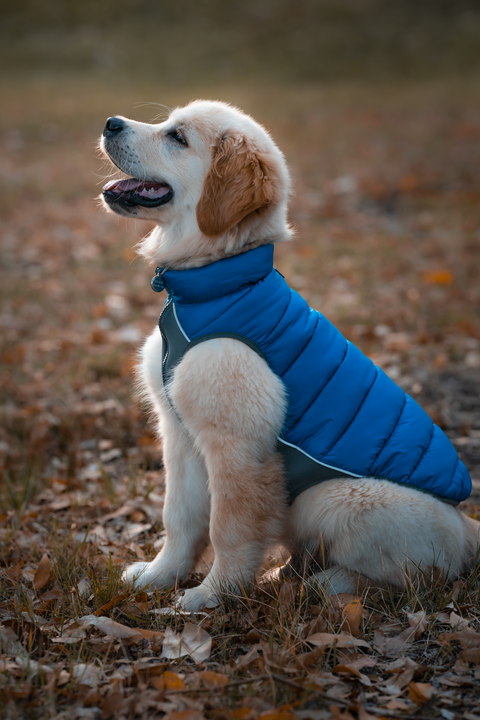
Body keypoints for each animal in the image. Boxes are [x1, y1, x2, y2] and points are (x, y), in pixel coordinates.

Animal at [99, 98, 478, 612]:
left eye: (176, 137)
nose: (109, 123)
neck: (221, 284)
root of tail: (470, 530)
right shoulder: (178, 434)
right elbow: (179, 516)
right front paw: (160, 577)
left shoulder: (240, 449)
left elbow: (229, 529)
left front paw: (213, 596)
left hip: (335, 498)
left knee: (415, 578)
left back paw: (322, 585)